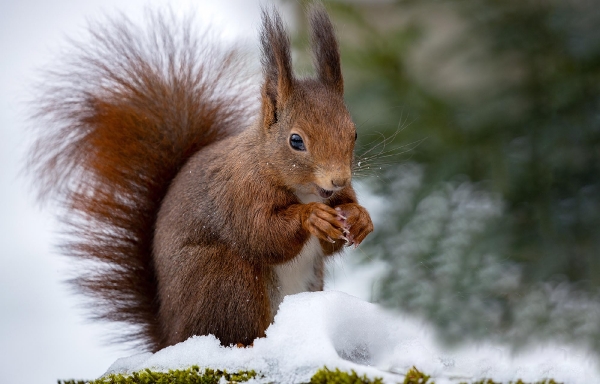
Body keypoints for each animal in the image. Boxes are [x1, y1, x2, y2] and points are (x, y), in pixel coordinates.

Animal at [31, 4, 376, 352]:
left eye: (354, 134)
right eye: (296, 141)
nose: (339, 180)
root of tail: (170, 337)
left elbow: (331, 240)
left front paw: (360, 217)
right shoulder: (241, 192)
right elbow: (262, 233)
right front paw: (312, 216)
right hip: (226, 278)